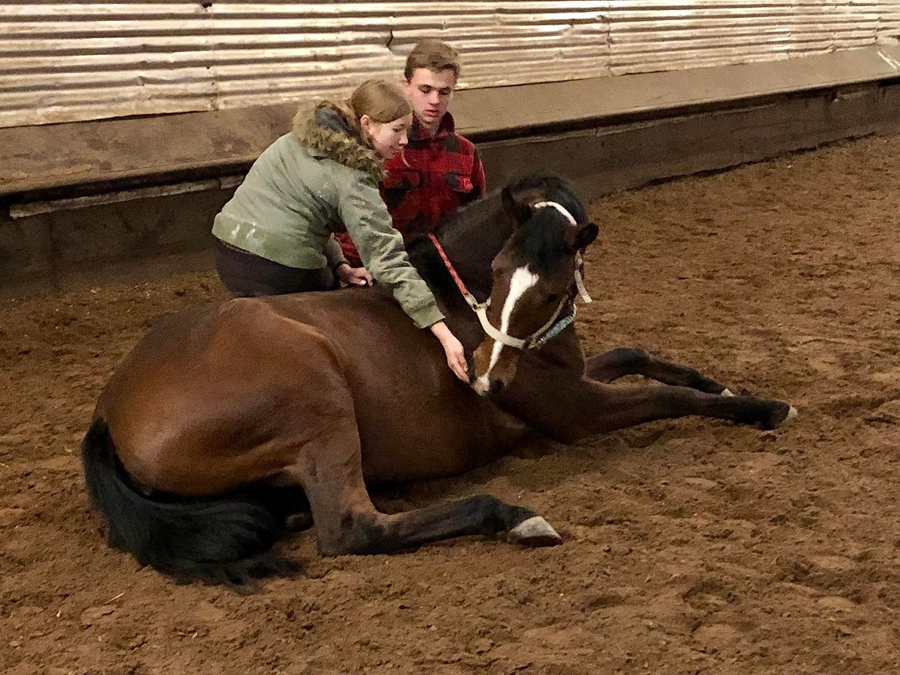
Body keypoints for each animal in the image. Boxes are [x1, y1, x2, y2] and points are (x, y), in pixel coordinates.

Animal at [79, 174, 796, 588]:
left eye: (554, 289)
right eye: (500, 271)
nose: (487, 380)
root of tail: (111, 404)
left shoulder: (569, 376)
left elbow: (639, 354)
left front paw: (721, 385)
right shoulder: (575, 411)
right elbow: (666, 396)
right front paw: (766, 406)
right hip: (317, 402)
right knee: (352, 528)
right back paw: (513, 516)